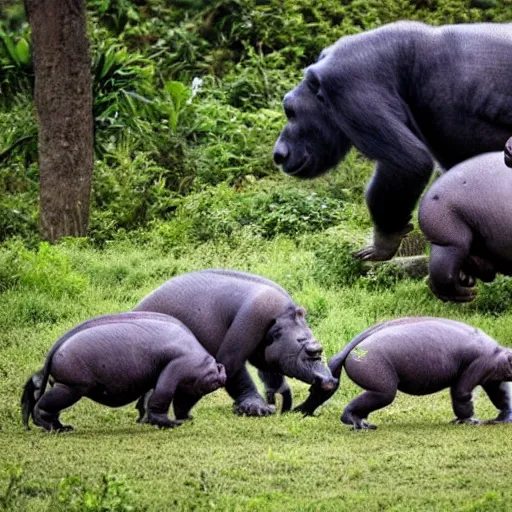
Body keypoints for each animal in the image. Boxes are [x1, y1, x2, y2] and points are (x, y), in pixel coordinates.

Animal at [21, 312, 226, 432]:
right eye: (214, 379)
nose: (223, 375)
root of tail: (55, 349)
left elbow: (148, 400)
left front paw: (145, 420)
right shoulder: (174, 372)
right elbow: (160, 399)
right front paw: (170, 424)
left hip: (62, 386)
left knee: (45, 405)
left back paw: (61, 427)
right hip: (71, 389)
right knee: (43, 407)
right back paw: (56, 428)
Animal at [134, 270, 338, 418]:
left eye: (320, 349)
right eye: (310, 350)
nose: (330, 381)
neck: (283, 317)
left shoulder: (266, 355)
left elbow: (272, 376)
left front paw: (281, 402)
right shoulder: (246, 326)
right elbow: (238, 376)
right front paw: (260, 409)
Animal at [294, 318, 512, 430]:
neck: (501, 354)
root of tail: (347, 349)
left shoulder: (493, 378)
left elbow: (502, 396)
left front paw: (502, 419)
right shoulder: (477, 368)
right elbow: (462, 396)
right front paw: (469, 422)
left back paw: (363, 423)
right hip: (383, 387)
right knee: (364, 404)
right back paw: (358, 423)